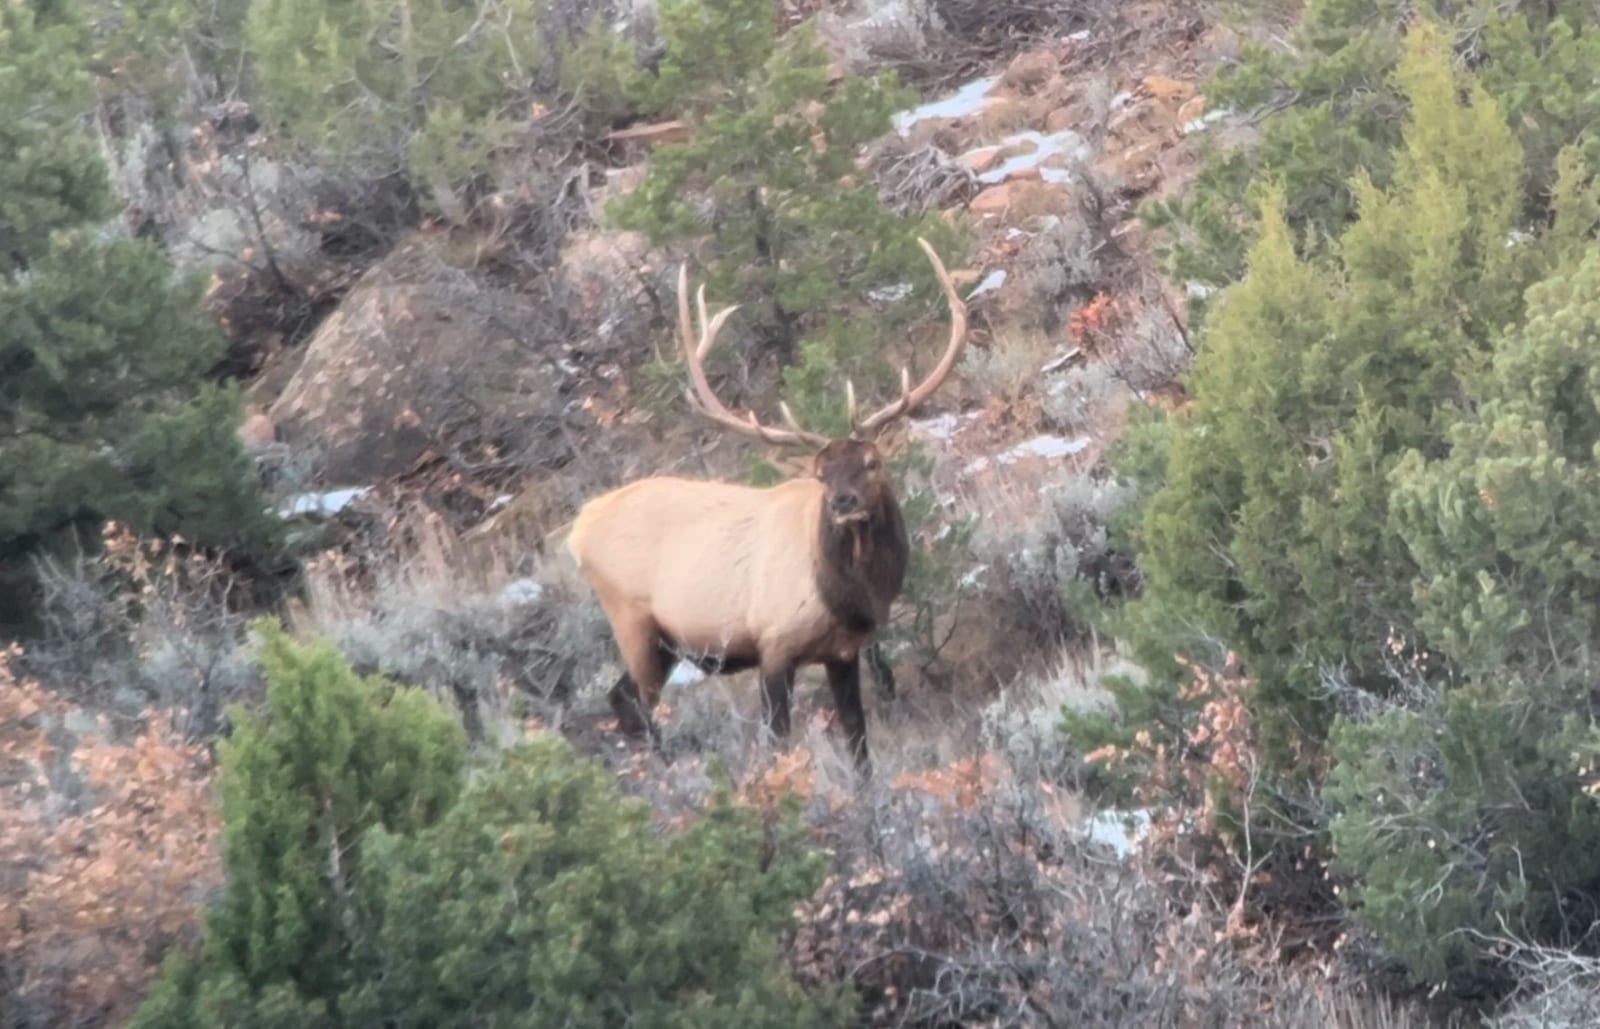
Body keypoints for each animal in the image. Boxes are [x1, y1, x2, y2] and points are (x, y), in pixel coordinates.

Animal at [565, 238, 968, 775]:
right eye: (820, 473)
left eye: (872, 462)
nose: (842, 502)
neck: (849, 597)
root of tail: (578, 529)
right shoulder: (773, 644)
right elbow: (778, 741)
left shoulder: (843, 652)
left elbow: (858, 740)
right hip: (633, 621)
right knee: (628, 701)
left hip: (665, 641)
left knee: (622, 698)